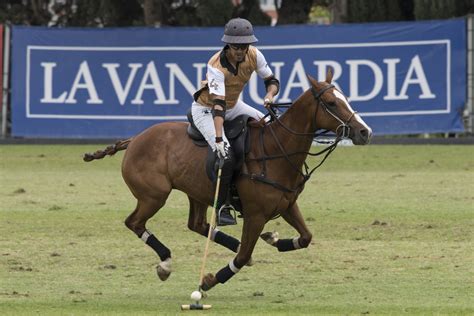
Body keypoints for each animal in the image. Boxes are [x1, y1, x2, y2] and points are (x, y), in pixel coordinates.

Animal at [83, 71, 372, 292]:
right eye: (331, 103)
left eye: (345, 98)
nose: (364, 132)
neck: (277, 150)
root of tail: (134, 139)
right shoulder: (256, 214)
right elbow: (242, 258)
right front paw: (208, 281)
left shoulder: (287, 205)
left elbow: (306, 237)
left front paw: (273, 239)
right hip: (154, 195)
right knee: (135, 222)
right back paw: (165, 263)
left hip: (196, 192)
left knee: (197, 224)